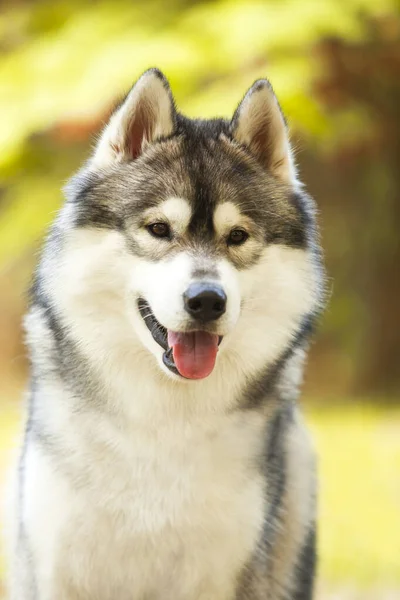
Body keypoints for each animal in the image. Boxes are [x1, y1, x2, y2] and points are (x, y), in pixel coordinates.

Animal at [6, 68, 324, 596]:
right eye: (158, 229)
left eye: (237, 236)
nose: (206, 300)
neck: (165, 417)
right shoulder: (57, 567)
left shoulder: (224, 571)